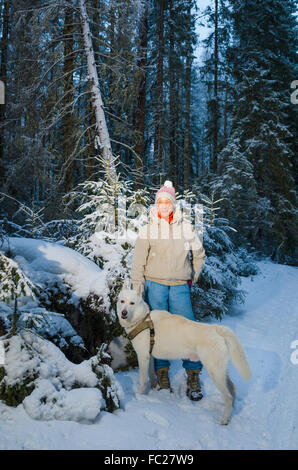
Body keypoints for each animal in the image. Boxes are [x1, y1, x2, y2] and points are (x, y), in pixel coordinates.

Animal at [116, 286, 251, 426]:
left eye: (132, 303)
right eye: (122, 301)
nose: (124, 313)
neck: (142, 319)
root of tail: (216, 329)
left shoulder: (142, 357)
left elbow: (142, 380)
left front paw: (140, 396)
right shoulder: (149, 357)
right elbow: (151, 374)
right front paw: (154, 388)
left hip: (214, 372)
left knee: (228, 396)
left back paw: (224, 420)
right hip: (221, 372)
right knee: (232, 388)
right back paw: (231, 413)